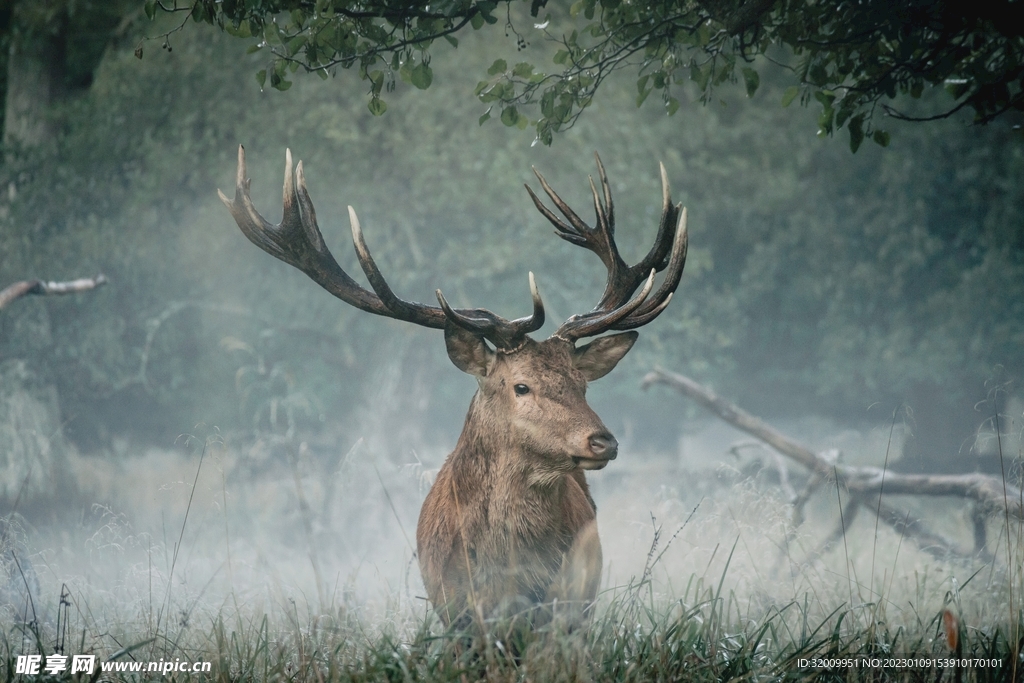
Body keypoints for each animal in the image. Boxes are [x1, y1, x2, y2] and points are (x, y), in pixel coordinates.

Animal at [219, 146, 688, 632]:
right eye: (521, 386)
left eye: (583, 385)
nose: (603, 441)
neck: (510, 580)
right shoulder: (456, 613)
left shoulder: (566, 613)